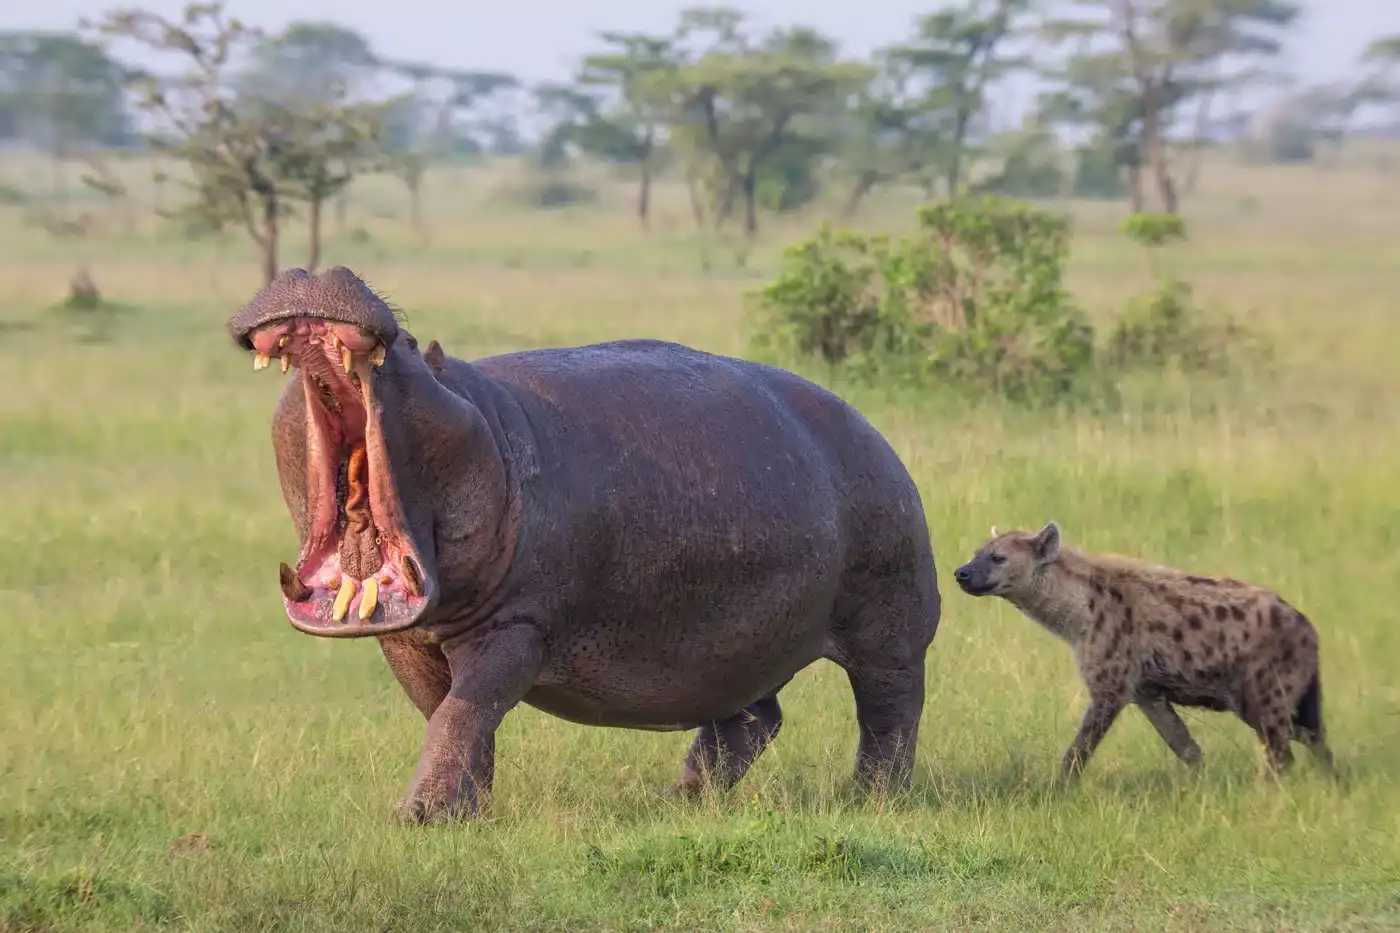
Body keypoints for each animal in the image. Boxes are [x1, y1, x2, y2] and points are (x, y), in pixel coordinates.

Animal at [230, 266, 942, 823]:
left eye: (404, 339)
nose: (315, 266)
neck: (480, 419)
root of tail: (874, 431)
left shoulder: (518, 627)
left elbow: (467, 709)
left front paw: (420, 816)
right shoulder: (405, 642)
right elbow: (454, 717)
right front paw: (466, 814)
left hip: (889, 622)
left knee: (890, 711)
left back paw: (870, 800)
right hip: (738, 640)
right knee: (749, 720)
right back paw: (682, 801)